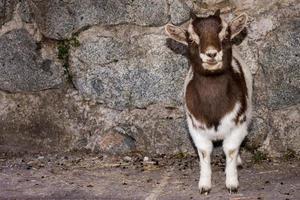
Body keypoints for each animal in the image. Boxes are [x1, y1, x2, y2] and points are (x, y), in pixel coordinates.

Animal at [165, 10, 252, 193]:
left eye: (225, 35)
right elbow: (204, 152)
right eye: (191, 39)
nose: (211, 54)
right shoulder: (196, 127)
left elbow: (231, 150)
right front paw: (204, 185)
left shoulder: (238, 123)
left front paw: (232, 183)